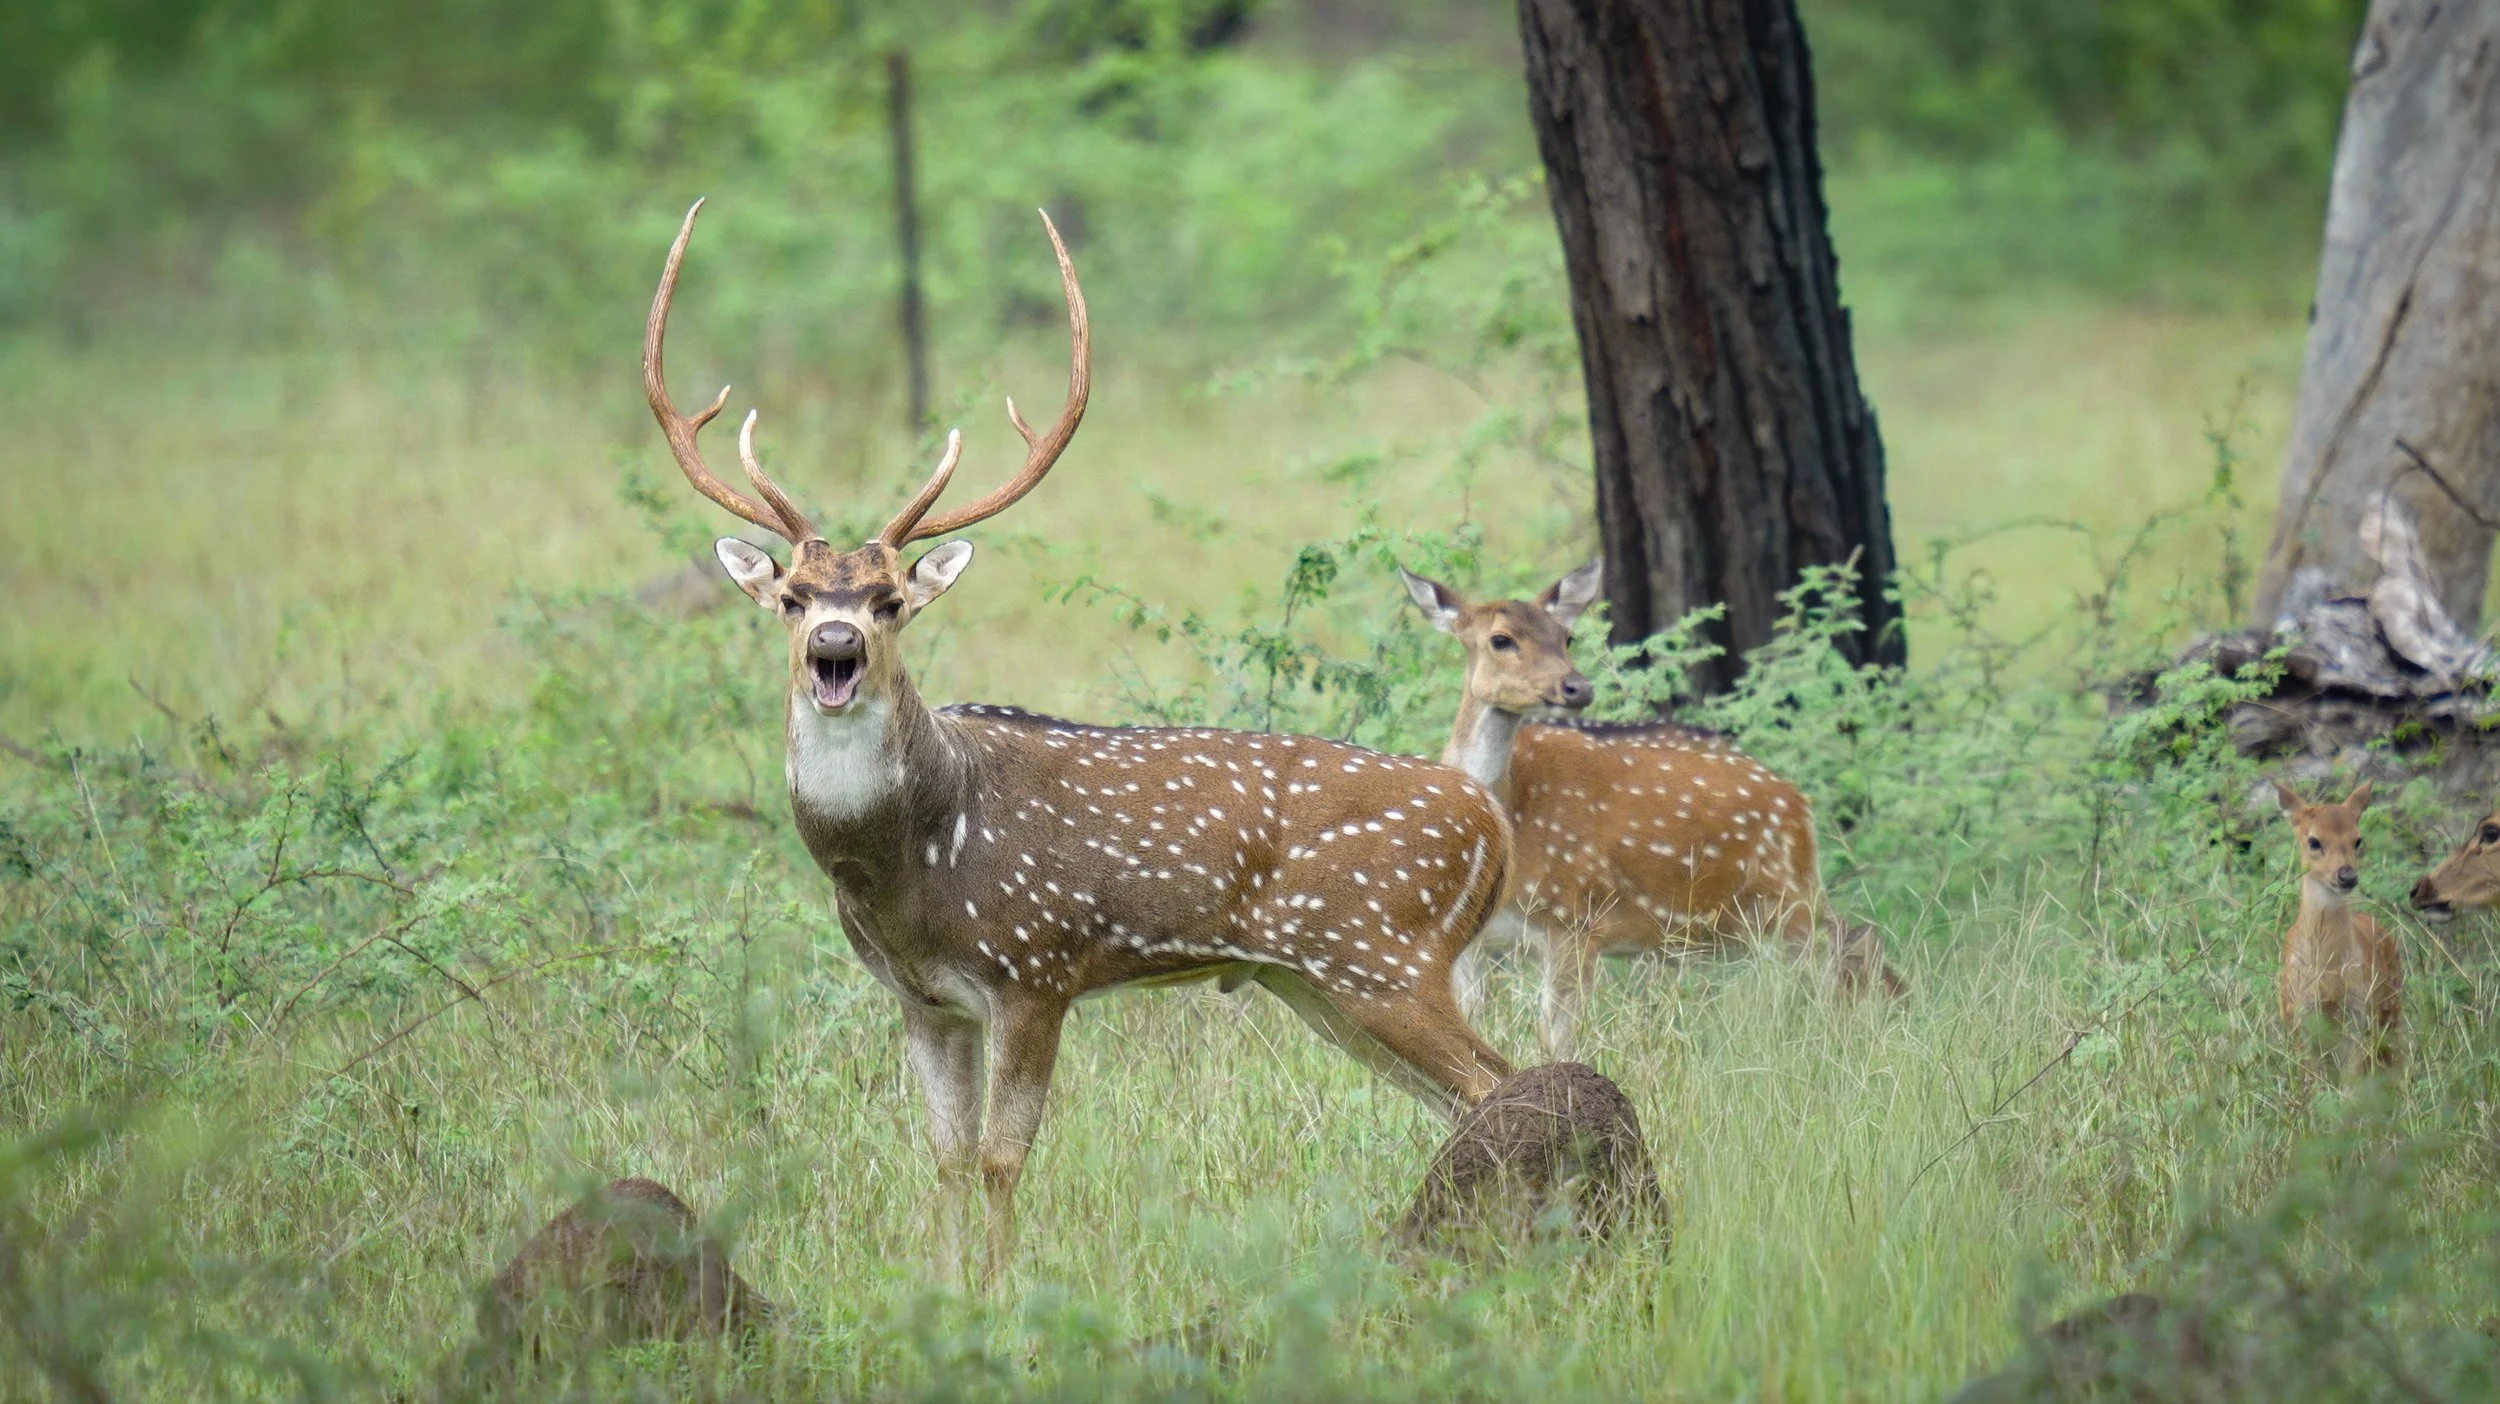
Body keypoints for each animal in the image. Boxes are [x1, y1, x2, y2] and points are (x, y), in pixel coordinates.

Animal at [643, 201, 1515, 1280]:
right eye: (795, 596)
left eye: (890, 600)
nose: (834, 647)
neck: (910, 862)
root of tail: (1491, 823)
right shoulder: (923, 999)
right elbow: (942, 1156)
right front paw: (942, 1291)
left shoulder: (1035, 966)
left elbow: (1001, 1158)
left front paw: (998, 1293)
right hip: (1311, 978)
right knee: (1468, 1096)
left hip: (1381, 951)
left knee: (1498, 1082)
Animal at [1399, 560, 1897, 1059]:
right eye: (1500, 639)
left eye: (1566, 636)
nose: (1577, 687)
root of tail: (1799, 806)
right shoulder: (1474, 944)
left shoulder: (1576, 920)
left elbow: (1554, 1041)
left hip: (1790, 899)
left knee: (1851, 950)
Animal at [2272, 780, 2401, 1072]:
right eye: (2314, 841)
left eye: (2357, 839)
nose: (2347, 876)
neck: (2329, 977)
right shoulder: (2300, 1018)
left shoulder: (2357, 1014)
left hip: (2390, 1011)